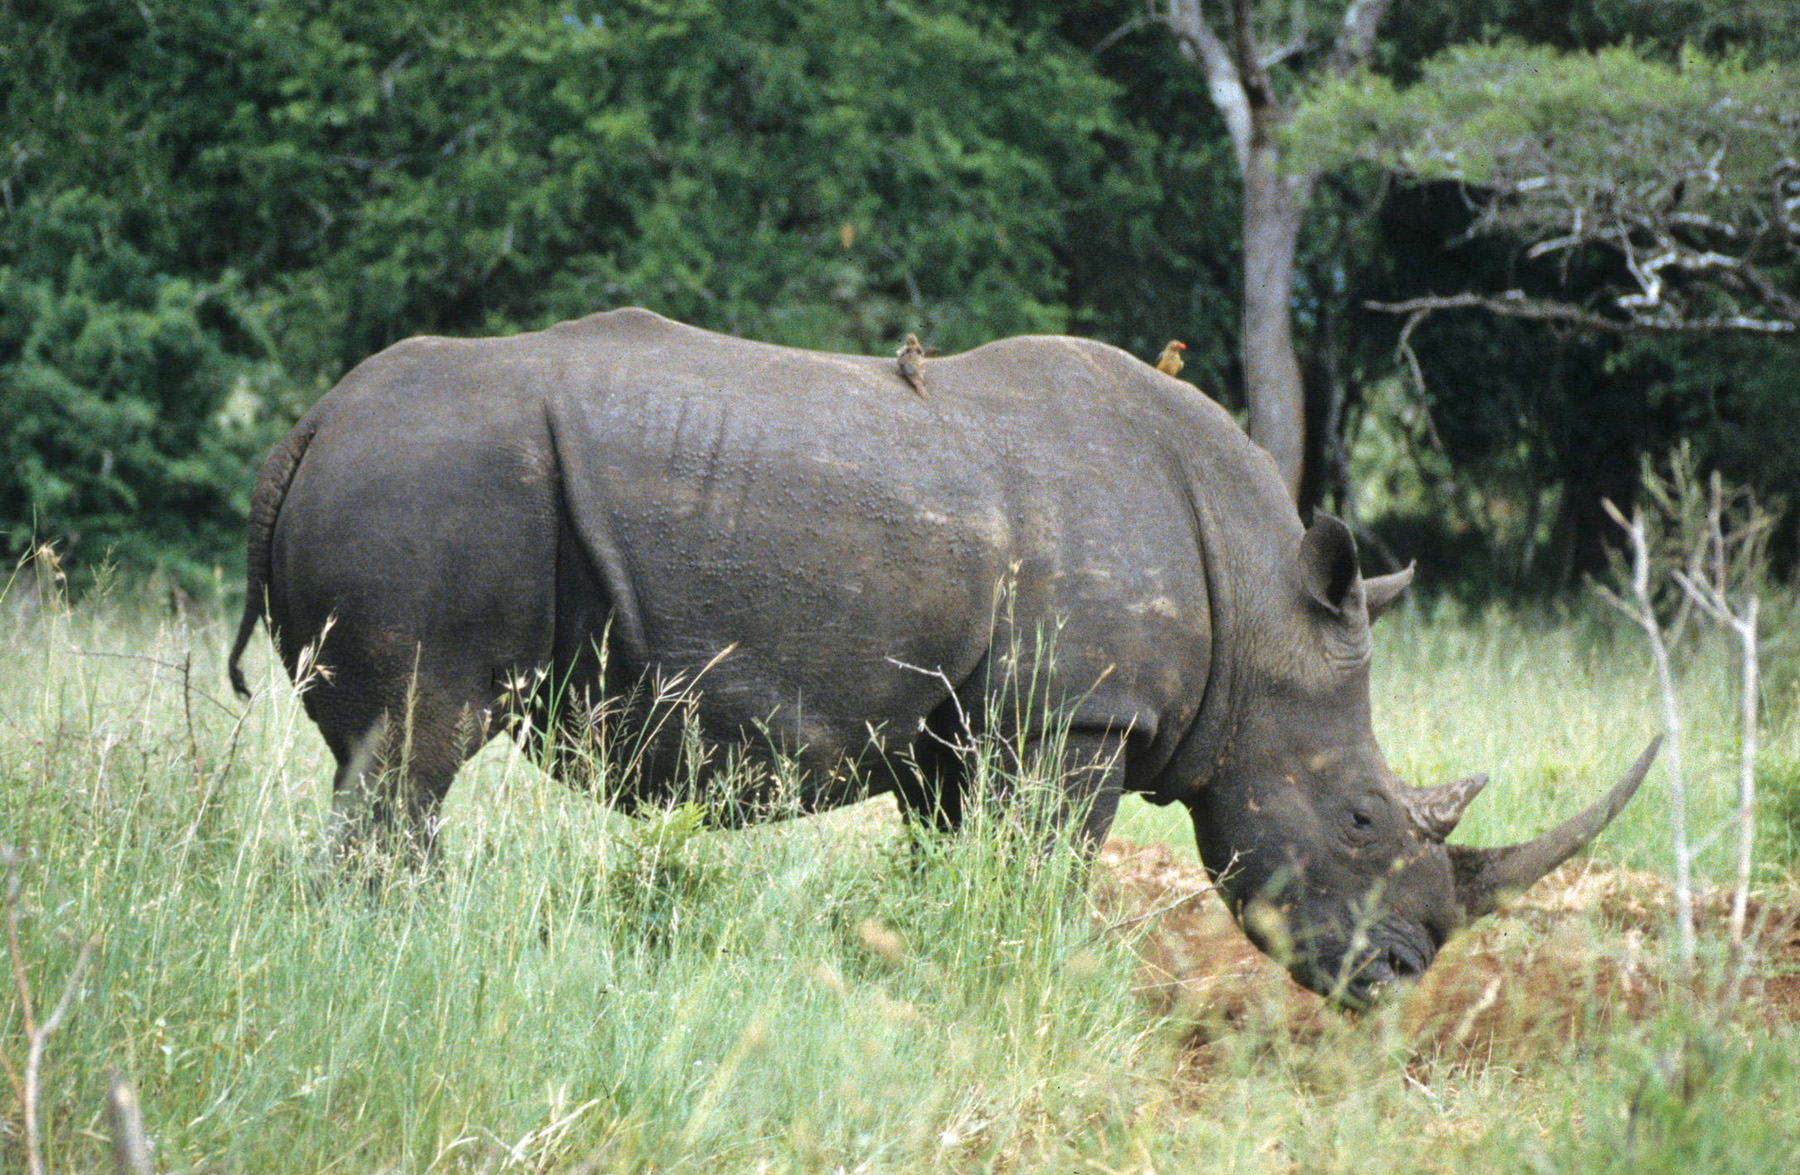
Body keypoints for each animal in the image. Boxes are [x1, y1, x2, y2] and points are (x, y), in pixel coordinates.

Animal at [228, 307, 1655, 1007]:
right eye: (1361, 817)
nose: (1403, 977)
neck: (1260, 609)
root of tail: (308, 424)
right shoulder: (1080, 717)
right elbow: (1039, 875)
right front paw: (1044, 977)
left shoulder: (963, 732)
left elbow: (951, 871)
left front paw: (926, 959)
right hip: (431, 493)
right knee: (415, 747)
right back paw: (407, 945)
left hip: (406, 482)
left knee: (377, 757)